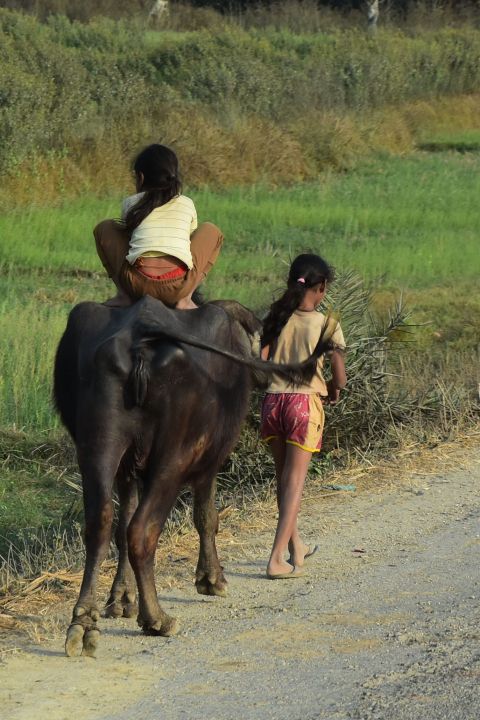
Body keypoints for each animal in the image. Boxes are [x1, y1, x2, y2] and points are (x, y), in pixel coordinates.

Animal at [54, 296, 332, 657]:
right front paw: (211, 579)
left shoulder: (127, 471)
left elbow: (121, 524)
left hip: (97, 446)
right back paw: (157, 619)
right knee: (142, 531)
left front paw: (121, 598)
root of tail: (139, 331)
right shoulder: (211, 457)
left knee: (100, 524)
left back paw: (84, 623)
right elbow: (206, 516)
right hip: (173, 457)